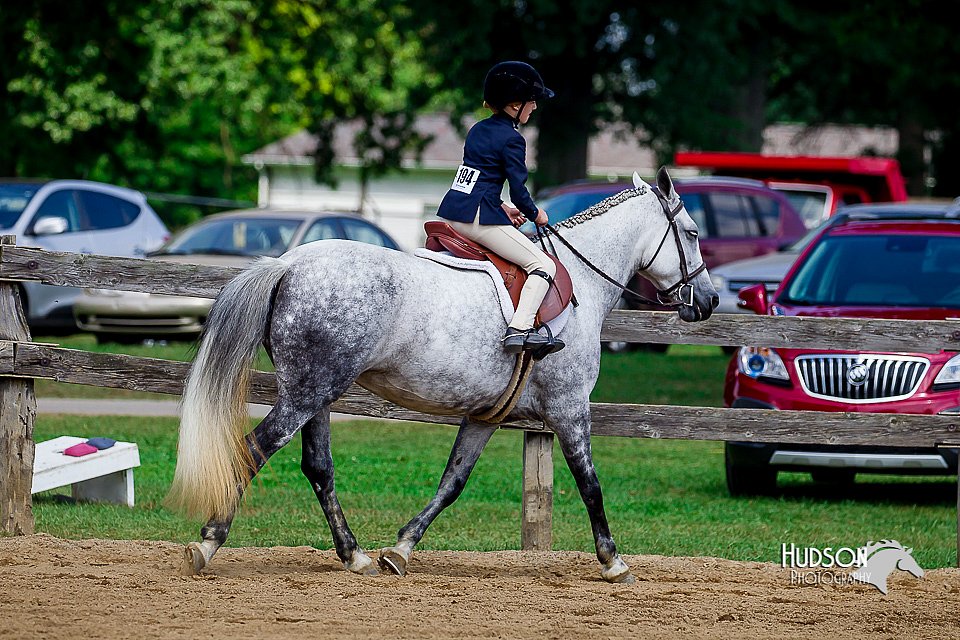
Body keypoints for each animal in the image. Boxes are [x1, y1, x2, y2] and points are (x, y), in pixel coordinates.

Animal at [169, 166, 716, 584]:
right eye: (691, 233)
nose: (709, 301)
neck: (580, 280)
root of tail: (288, 262)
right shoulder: (569, 410)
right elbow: (590, 485)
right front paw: (613, 561)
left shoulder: (485, 416)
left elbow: (453, 481)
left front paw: (401, 550)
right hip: (304, 397)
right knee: (252, 450)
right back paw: (208, 543)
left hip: (317, 395)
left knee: (319, 469)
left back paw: (354, 555)